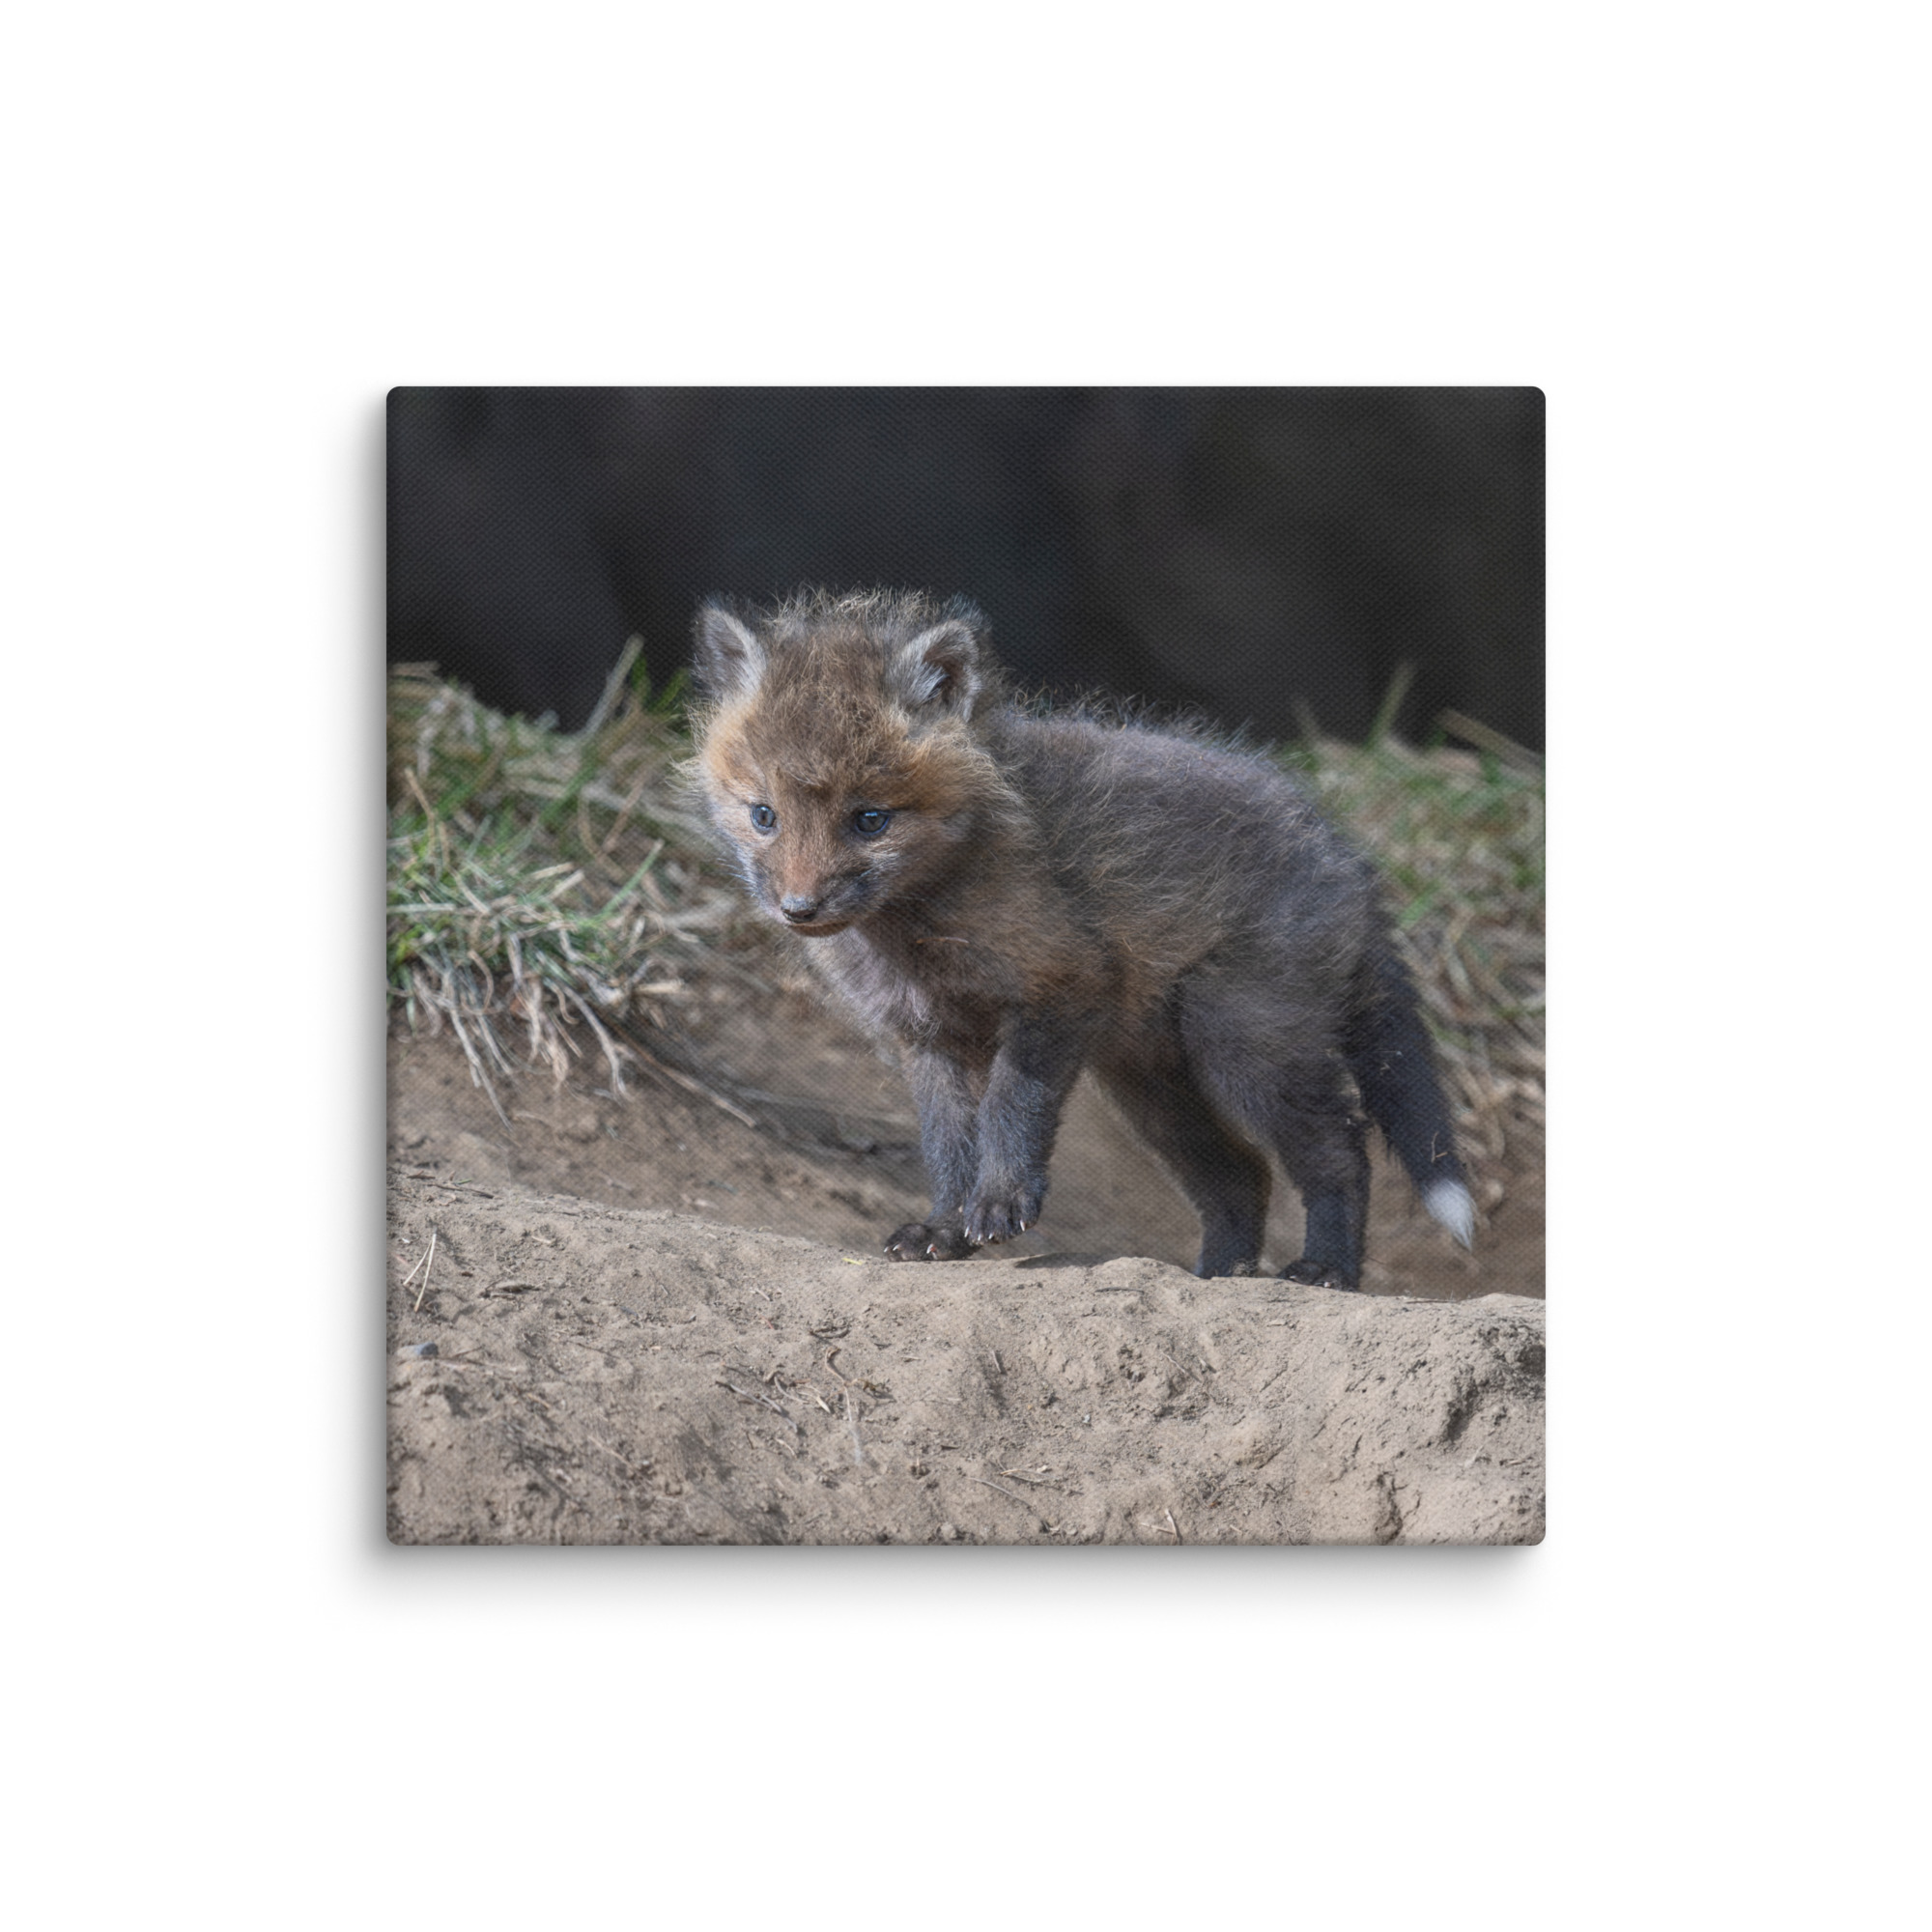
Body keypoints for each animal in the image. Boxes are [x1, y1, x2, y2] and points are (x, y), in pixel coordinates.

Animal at [690, 588, 1475, 1289]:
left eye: (870, 819)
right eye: (764, 815)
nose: (798, 909)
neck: (916, 931)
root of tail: (1347, 856)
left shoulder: (1061, 984)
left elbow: (1011, 1107)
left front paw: (1001, 1202)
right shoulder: (928, 1036)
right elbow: (948, 1145)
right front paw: (945, 1228)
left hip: (1245, 1046)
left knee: (1341, 1150)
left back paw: (1326, 1269)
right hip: (1152, 1084)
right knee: (1242, 1175)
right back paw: (1219, 1275)